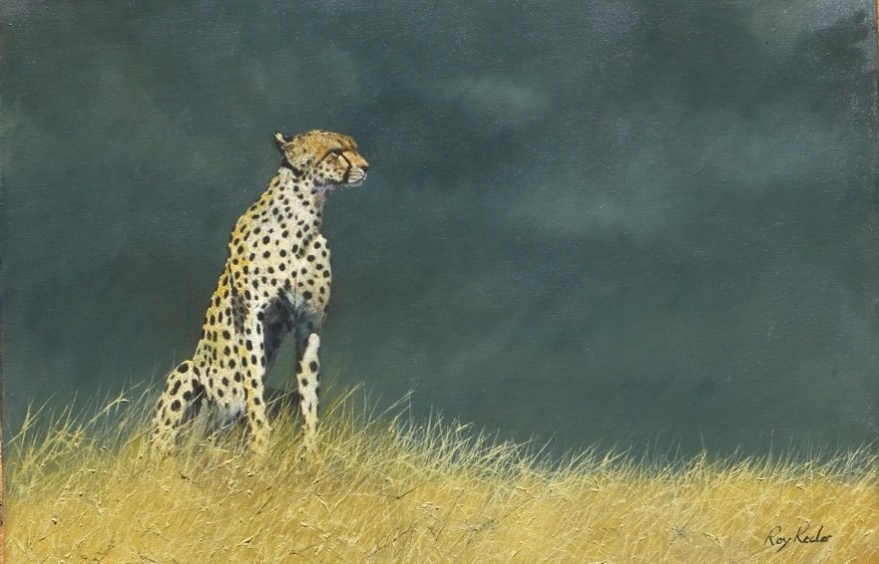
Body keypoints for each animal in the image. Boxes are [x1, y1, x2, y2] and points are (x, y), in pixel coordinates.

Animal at [151, 129, 368, 456]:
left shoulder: (309, 324)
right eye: (336, 152)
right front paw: (261, 445)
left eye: (354, 148)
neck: (304, 216)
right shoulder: (251, 316)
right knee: (162, 441)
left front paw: (311, 453)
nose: (366, 167)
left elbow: (309, 391)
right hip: (187, 374)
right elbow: (253, 383)